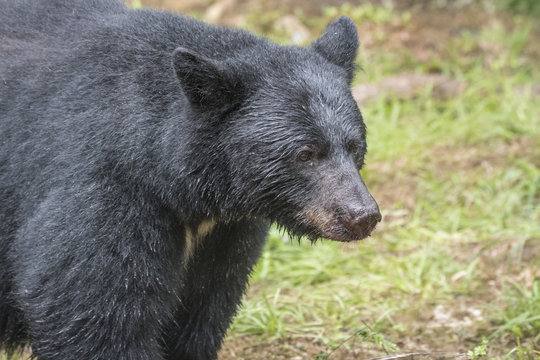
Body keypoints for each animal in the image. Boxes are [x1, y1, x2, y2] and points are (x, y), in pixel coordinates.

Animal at [1, 0, 380, 358]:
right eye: (305, 154)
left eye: (354, 146)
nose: (362, 216)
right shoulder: (106, 189)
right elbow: (93, 312)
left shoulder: (225, 236)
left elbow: (201, 310)